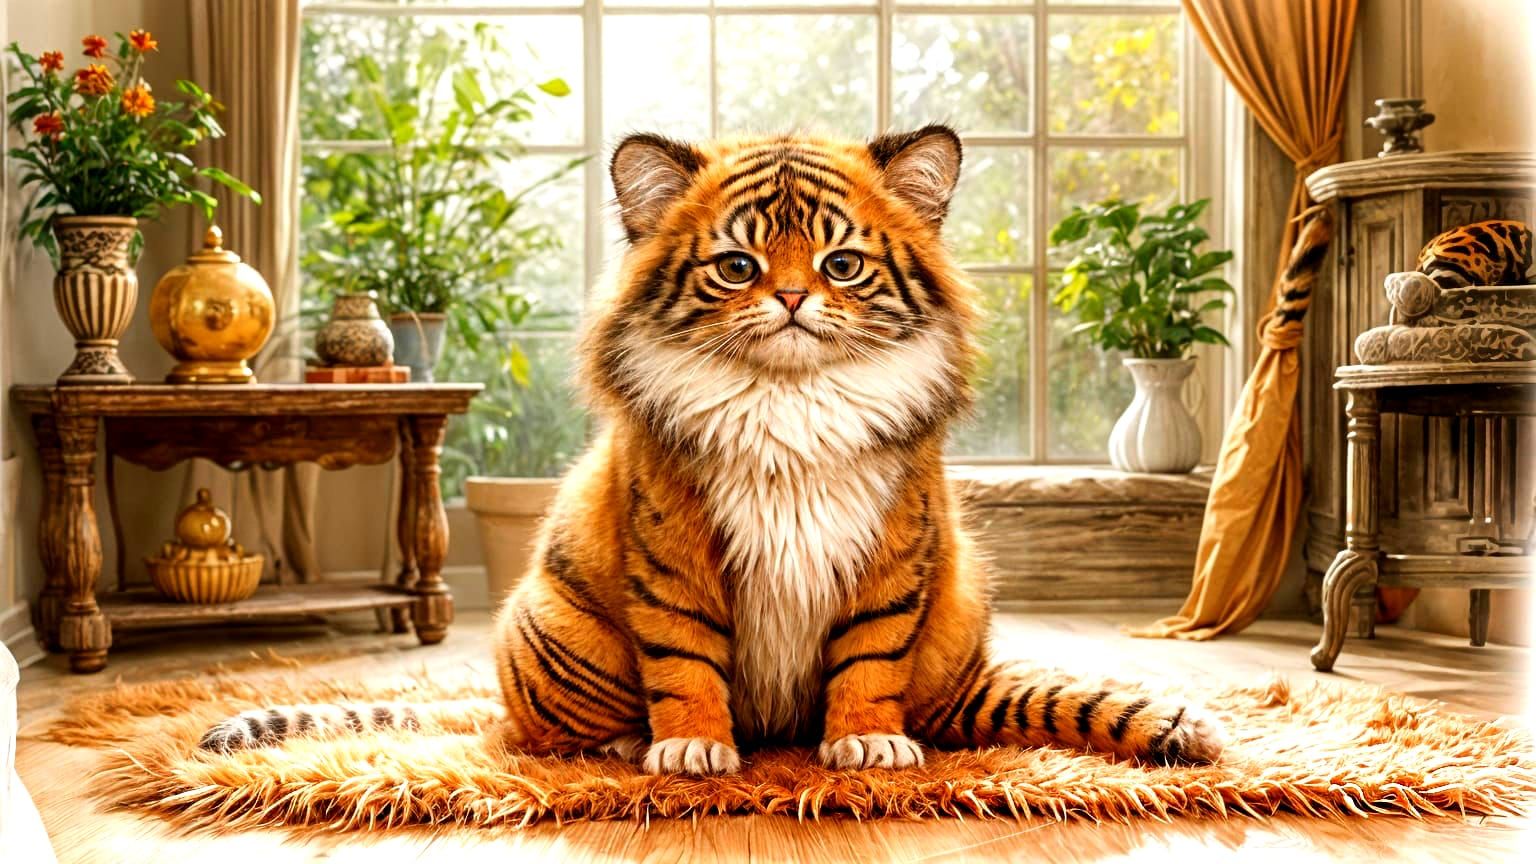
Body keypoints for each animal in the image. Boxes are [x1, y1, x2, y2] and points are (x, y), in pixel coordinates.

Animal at [200, 125, 1226, 774]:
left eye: (841, 263)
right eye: (738, 265)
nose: (792, 300)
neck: (792, 397)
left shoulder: (896, 549)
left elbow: (869, 654)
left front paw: (868, 743)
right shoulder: (673, 545)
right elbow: (685, 654)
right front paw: (692, 747)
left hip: (956, 625)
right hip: (552, 631)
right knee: (537, 737)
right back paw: (628, 743)